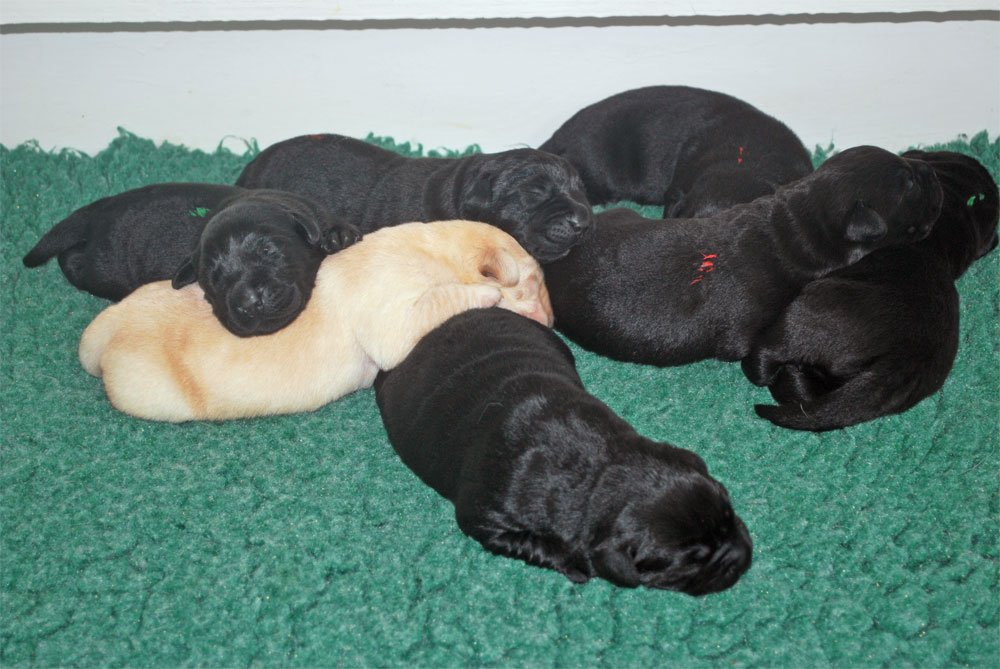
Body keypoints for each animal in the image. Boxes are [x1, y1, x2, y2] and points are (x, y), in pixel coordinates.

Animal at [22, 184, 360, 336]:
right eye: (214, 279)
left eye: (269, 252)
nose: (249, 302)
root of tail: (100, 210)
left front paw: (338, 236)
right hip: (103, 267)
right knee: (72, 259)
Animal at [79, 220, 553, 422]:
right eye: (531, 283)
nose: (552, 319)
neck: (436, 247)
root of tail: (106, 327)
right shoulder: (397, 320)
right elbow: (449, 297)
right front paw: (490, 296)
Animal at [374, 307, 752, 595]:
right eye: (691, 561)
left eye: (729, 510)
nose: (741, 556)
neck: (602, 471)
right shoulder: (485, 516)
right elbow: (532, 543)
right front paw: (575, 565)